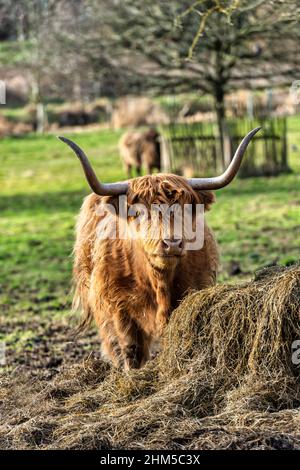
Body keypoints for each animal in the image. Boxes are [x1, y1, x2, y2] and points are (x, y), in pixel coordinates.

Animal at [59, 126, 260, 370]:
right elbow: (130, 348)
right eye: (139, 212)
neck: (158, 279)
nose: (171, 243)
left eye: (187, 209)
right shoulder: (117, 306)